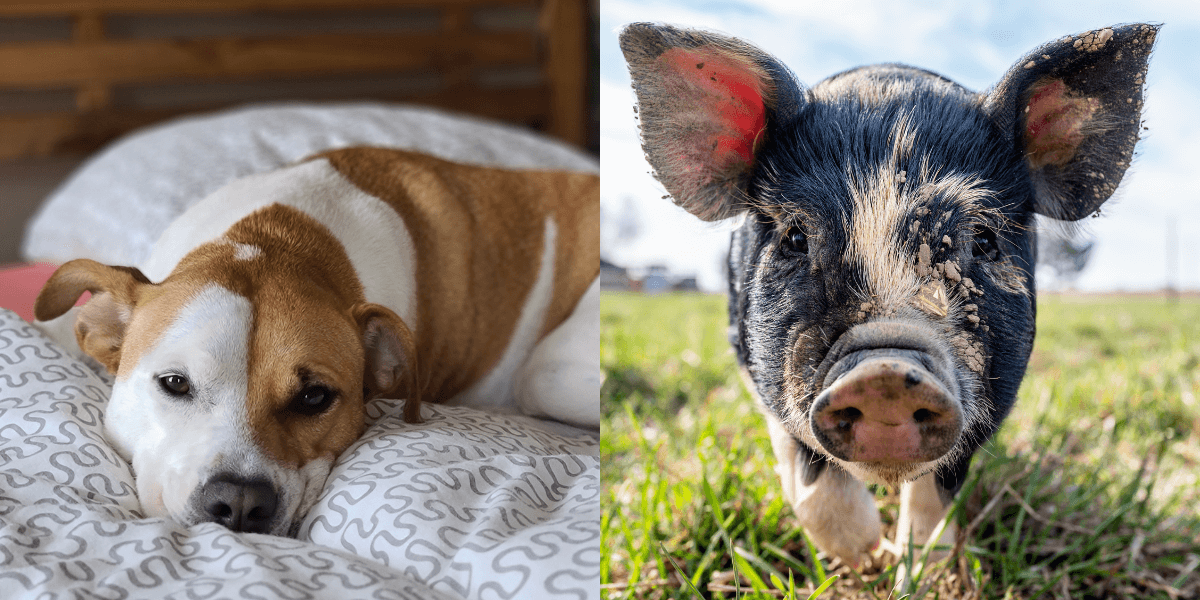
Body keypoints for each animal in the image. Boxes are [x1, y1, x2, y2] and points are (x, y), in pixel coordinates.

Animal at [619, 23, 1158, 566]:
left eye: (984, 238)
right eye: (795, 236)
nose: (885, 375)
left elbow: (935, 500)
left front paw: (915, 564)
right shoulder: (758, 367)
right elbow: (809, 480)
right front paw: (868, 555)